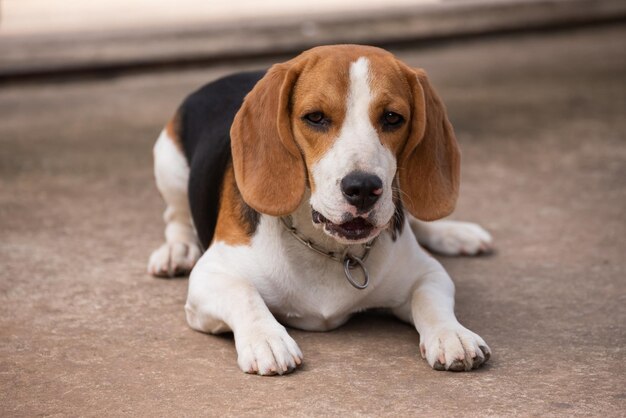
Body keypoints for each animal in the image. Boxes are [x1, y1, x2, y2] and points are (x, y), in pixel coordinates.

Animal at [147, 45, 492, 376]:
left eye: (393, 118)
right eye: (315, 117)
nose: (363, 188)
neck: (331, 248)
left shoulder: (428, 272)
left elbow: (430, 299)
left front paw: (452, 335)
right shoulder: (210, 275)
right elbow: (243, 292)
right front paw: (267, 339)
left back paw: (457, 234)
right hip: (169, 163)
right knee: (175, 219)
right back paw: (177, 250)